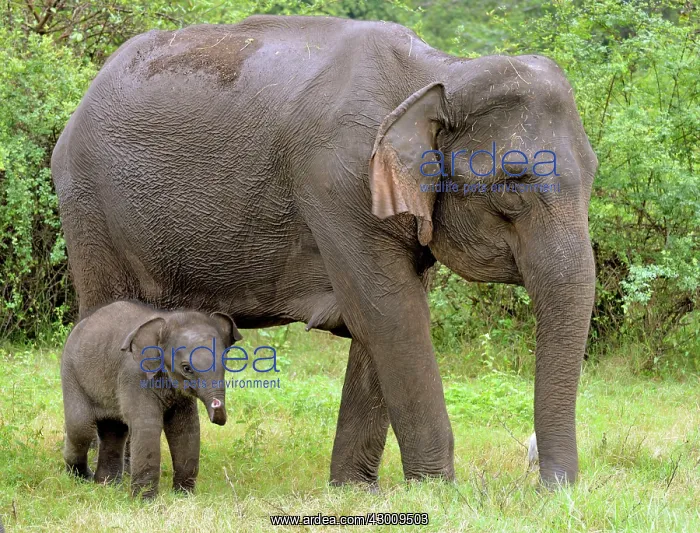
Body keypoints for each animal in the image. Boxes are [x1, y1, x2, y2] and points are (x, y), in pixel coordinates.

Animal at [61, 300, 242, 498]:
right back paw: (82, 478)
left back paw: (106, 486)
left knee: (113, 431)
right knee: (81, 428)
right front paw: (145, 500)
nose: (218, 416)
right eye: (186, 368)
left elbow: (185, 427)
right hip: (71, 374)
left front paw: (183, 496)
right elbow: (147, 425)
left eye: (225, 362)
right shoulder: (134, 375)